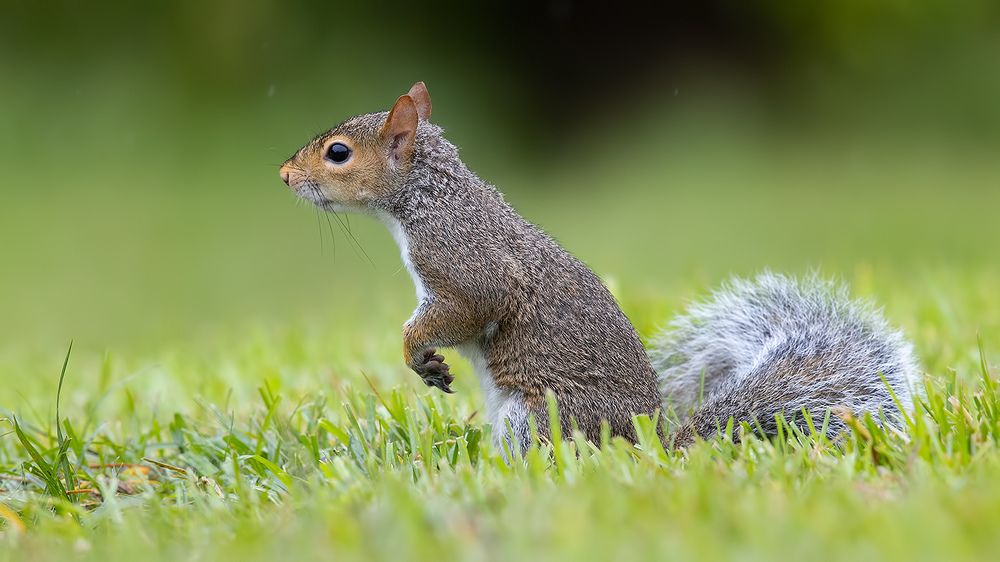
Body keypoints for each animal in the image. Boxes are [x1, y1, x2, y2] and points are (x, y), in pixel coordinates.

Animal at [279, 82, 919, 451]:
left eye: (338, 153)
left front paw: (418, 354)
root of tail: (649, 449)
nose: (284, 176)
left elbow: (465, 309)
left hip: (538, 417)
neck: (429, 198)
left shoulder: (464, 264)